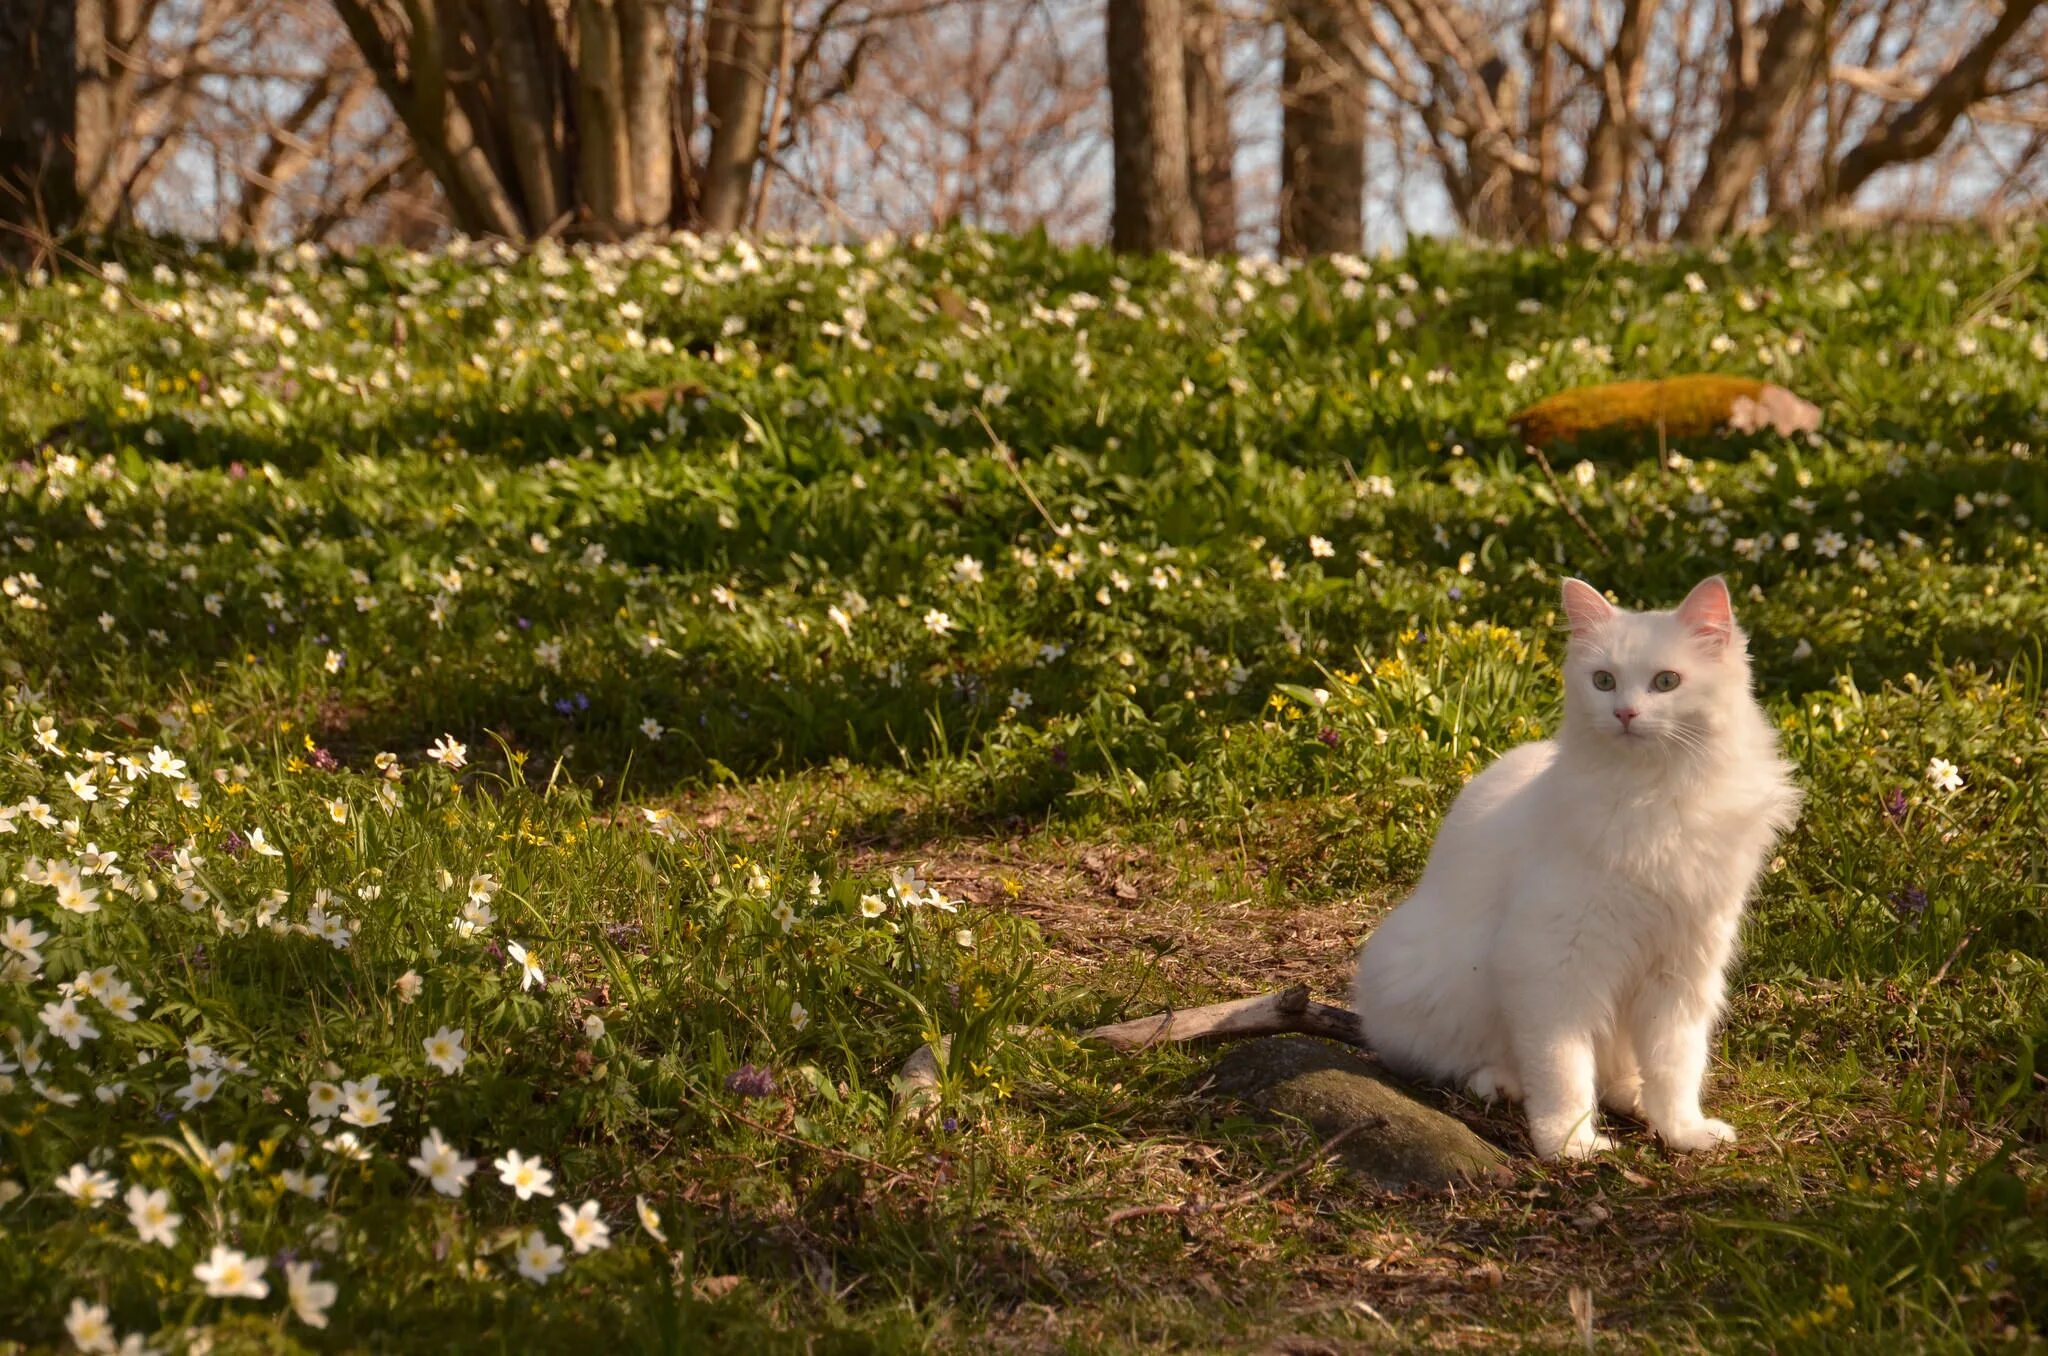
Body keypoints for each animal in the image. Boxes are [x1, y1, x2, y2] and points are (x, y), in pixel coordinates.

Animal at [1351, 577, 1802, 1163]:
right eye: (1603, 681)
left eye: (1666, 682)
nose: (1625, 714)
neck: (1655, 796)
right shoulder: (1553, 962)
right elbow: (1562, 1068)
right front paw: (1569, 1144)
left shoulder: (1681, 969)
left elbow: (1676, 1065)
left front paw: (1683, 1132)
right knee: (1461, 1060)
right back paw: (1502, 1084)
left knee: (1620, 1075)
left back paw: (1633, 1098)